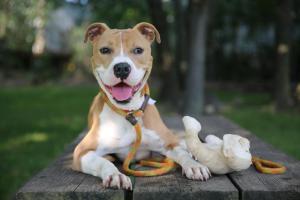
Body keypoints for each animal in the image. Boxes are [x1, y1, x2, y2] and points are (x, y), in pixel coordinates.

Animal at [71, 22, 210, 191]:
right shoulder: (82, 151)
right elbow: (102, 162)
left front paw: (194, 166)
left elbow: (181, 153)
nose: (122, 68)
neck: (129, 112)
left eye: (138, 50)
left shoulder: (168, 142)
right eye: (105, 50)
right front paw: (115, 175)